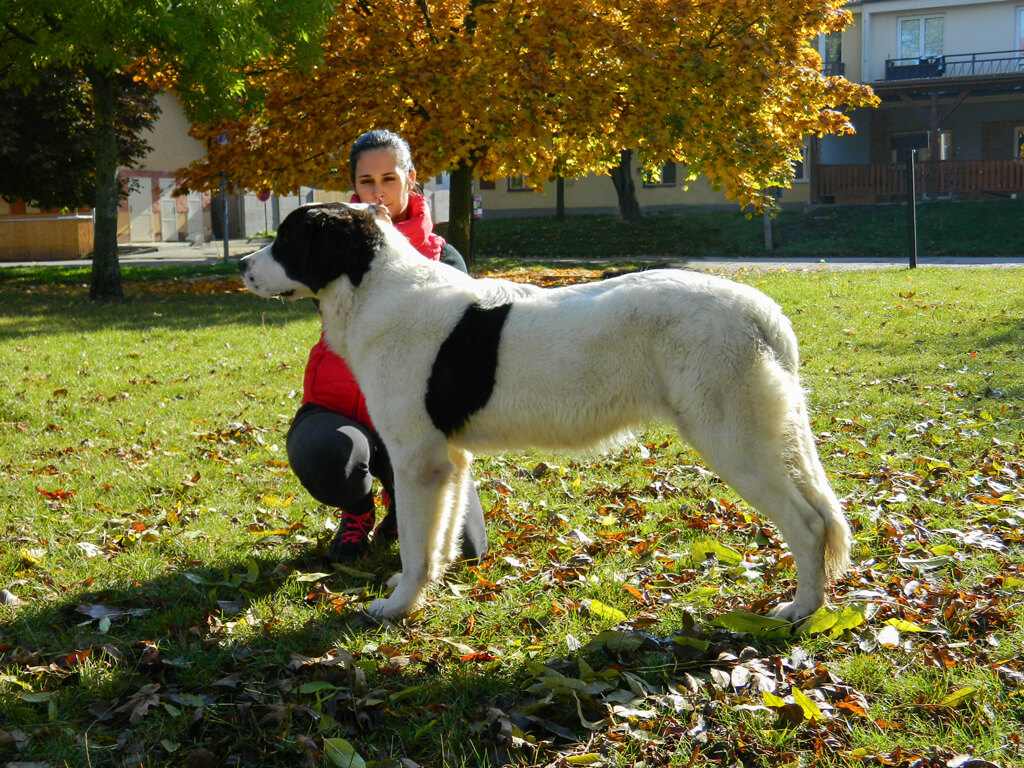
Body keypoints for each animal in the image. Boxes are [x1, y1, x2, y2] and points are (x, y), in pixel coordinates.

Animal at [237, 201, 847, 622]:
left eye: (288, 239)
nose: (242, 264)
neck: (372, 285)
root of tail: (761, 310)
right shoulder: (447, 459)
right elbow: (439, 537)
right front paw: (424, 586)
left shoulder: (416, 460)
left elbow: (414, 543)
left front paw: (399, 606)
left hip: (732, 437)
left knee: (808, 523)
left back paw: (802, 610)